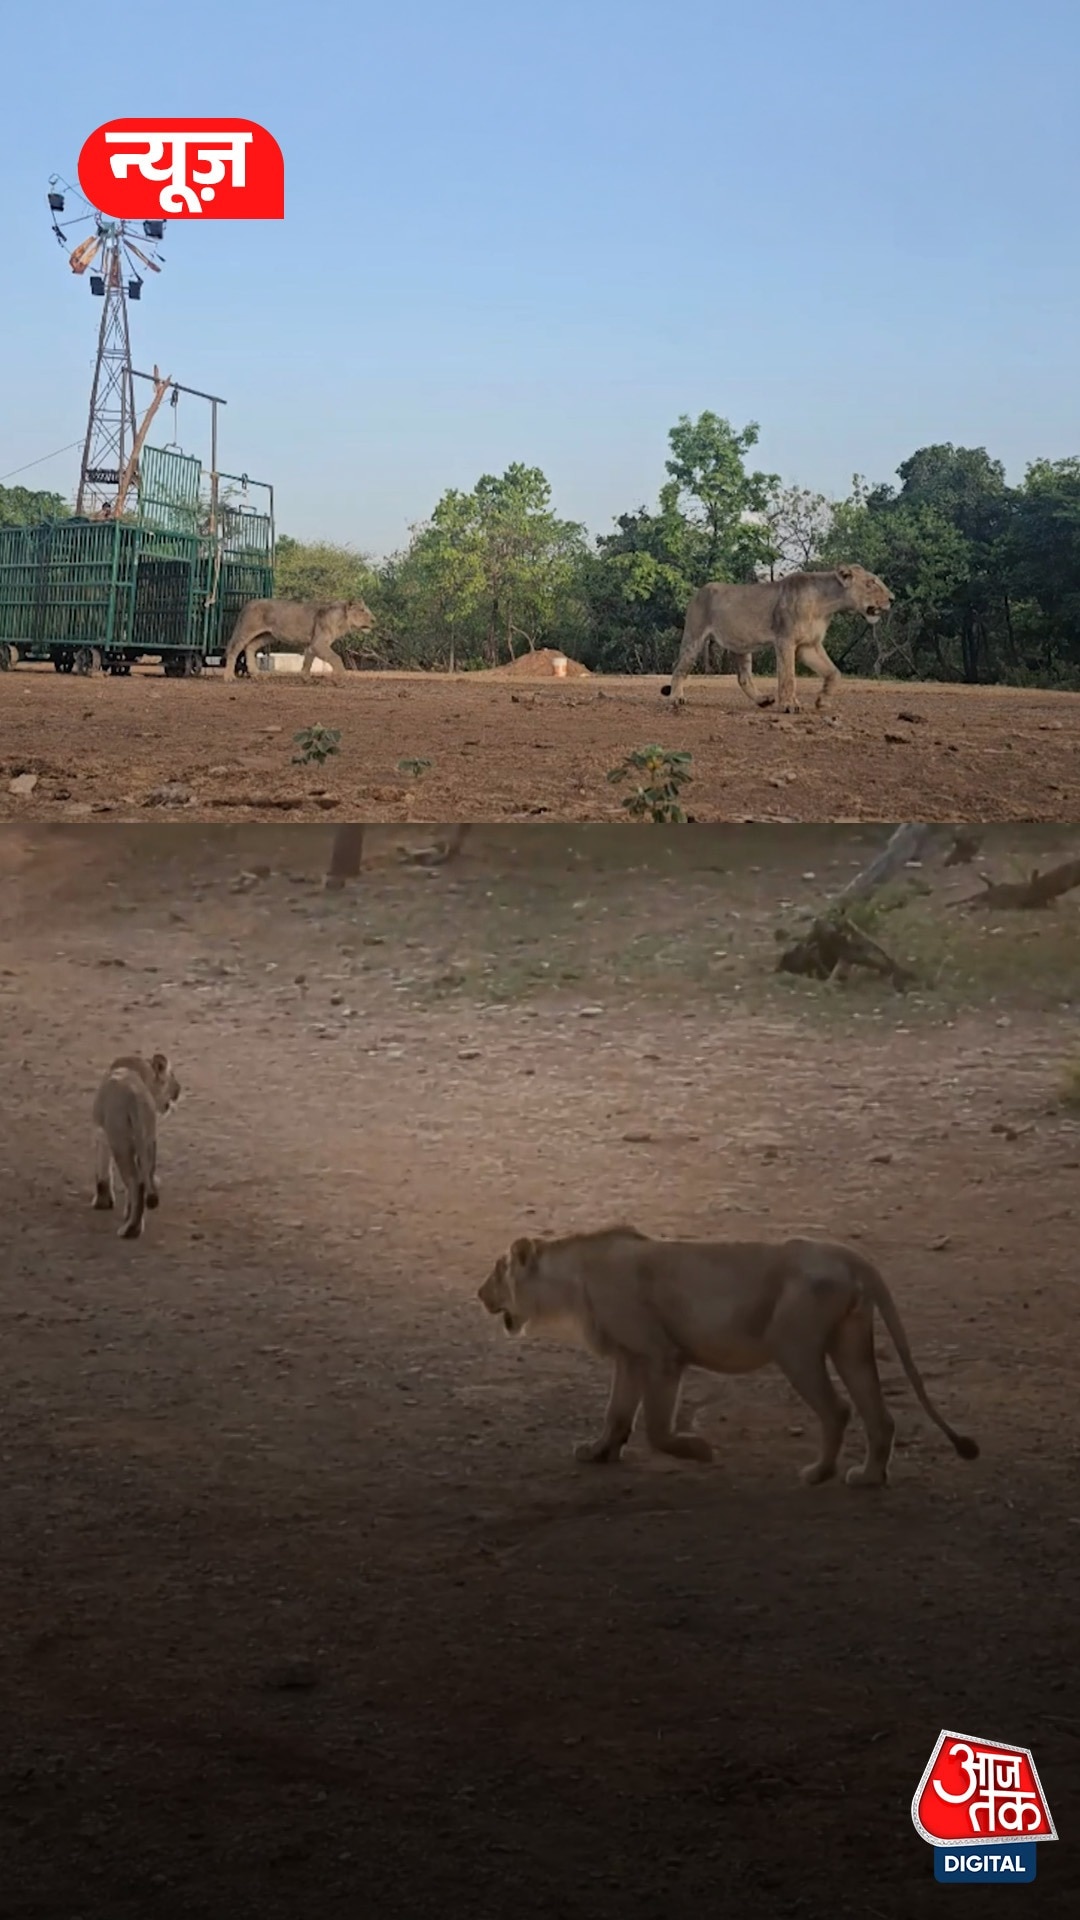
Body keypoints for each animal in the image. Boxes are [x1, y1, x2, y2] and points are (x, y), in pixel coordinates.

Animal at [91, 1053, 181, 1240]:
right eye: (172, 1075)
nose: (179, 1090)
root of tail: (134, 1096)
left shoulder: (102, 1137)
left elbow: (103, 1172)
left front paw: (102, 1202)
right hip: (148, 1140)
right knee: (144, 1178)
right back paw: (134, 1224)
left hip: (119, 1142)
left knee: (135, 1182)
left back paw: (131, 1229)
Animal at [223, 598, 375, 679]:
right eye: (362, 610)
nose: (374, 620)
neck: (342, 620)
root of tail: (248, 603)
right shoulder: (318, 643)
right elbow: (336, 658)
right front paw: (341, 676)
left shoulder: (312, 645)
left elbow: (308, 661)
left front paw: (305, 677)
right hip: (246, 630)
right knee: (234, 650)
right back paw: (229, 677)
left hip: (267, 635)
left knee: (250, 647)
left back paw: (256, 673)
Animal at [477, 1225, 978, 1487]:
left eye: (498, 1271)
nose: (479, 1294)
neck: (571, 1283)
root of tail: (852, 1257)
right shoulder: (631, 1356)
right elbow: (616, 1413)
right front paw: (599, 1451)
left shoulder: (661, 1355)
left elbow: (657, 1429)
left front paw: (698, 1450)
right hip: (849, 1342)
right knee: (879, 1415)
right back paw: (868, 1476)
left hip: (794, 1345)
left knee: (837, 1409)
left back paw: (818, 1473)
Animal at [660, 565, 893, 712]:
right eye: (872, 583)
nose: (893, 598)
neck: (826, 605)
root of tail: (699, 590)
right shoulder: (786, 640)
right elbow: (788, 676)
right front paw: (790, 705)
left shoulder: (809, 645)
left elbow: (833, 672)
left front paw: (822, 701)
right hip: (694, 636)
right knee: (679, 668)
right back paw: (676, 699)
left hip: (741, 646)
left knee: (743, 678)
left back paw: (763, 700)